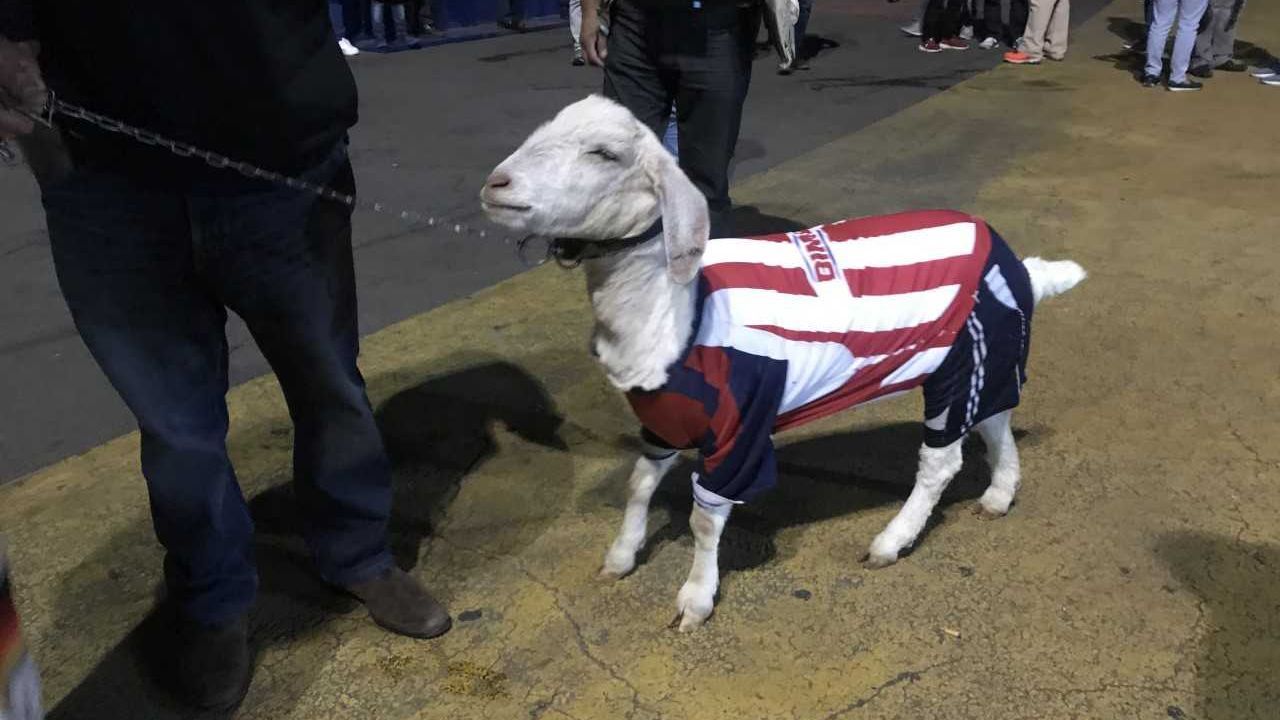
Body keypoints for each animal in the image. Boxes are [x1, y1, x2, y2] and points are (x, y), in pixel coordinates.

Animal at [481, 94, 1080, 627]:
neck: (681, 310)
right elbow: (639, 485)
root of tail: (1019, 266)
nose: (495, 184)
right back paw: (999, 495)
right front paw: (622, 556)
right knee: (996, 421)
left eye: (604, 153)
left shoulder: (740, 429)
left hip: (959, 362)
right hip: (992, 356)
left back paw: (891, 540)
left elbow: (704, 519)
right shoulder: (664, 422)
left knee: (941, 462)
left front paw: (696, 599)